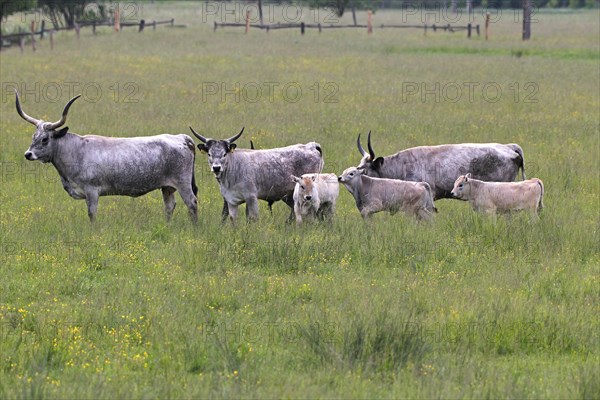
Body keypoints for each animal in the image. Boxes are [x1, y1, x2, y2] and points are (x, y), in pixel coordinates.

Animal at [17, 92, 197, 223]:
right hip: (167, 187)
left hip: (183, 183)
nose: (28, 154)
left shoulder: (92, 191)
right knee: (169, 206)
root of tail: (182, 138)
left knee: (192, 203)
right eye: (34, 136)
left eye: (45, 139)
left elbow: (92, 214)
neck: (75, 150)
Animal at [191, 127, 324, 223]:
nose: (216, 167)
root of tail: (311, 146)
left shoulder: (251, 198)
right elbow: (231, 218)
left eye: (224, 154)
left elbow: (252, 219)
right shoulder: (230, 199)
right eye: (209, 154)